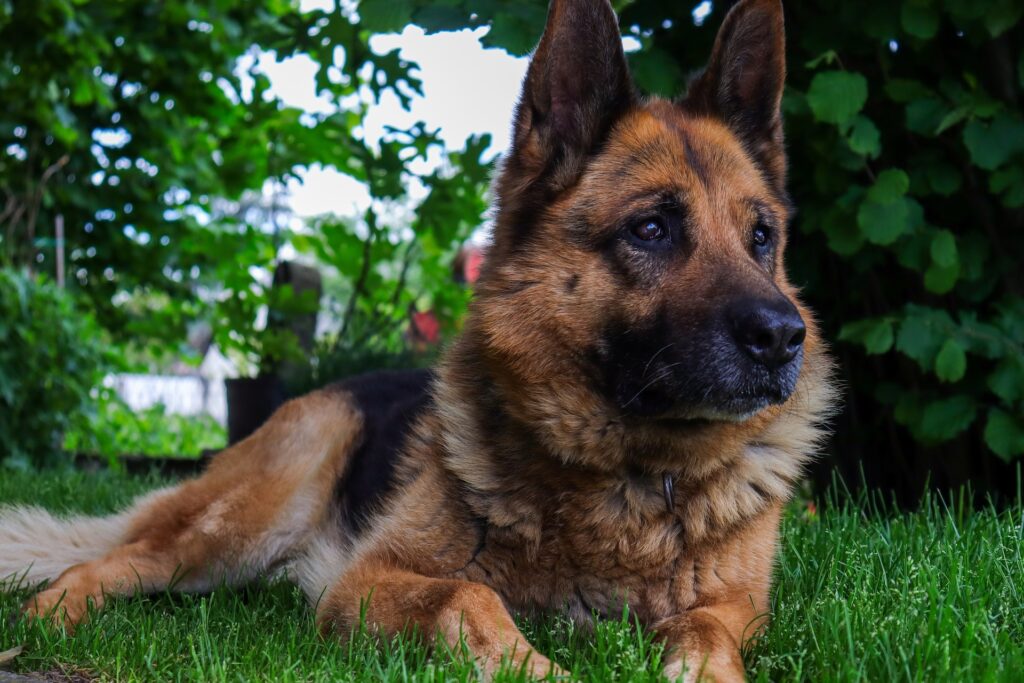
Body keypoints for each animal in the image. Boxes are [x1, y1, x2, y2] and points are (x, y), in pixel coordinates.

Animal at [0, 0, 831, 679]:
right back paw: (51, 619)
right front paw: (540, 667)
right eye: (651, 228)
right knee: (113, 561)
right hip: (242, 517)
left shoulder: (736, 608)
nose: (782, 337)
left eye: (761, 237)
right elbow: (466, 597)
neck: (627, 486)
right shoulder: (365, 584)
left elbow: (703, 632)